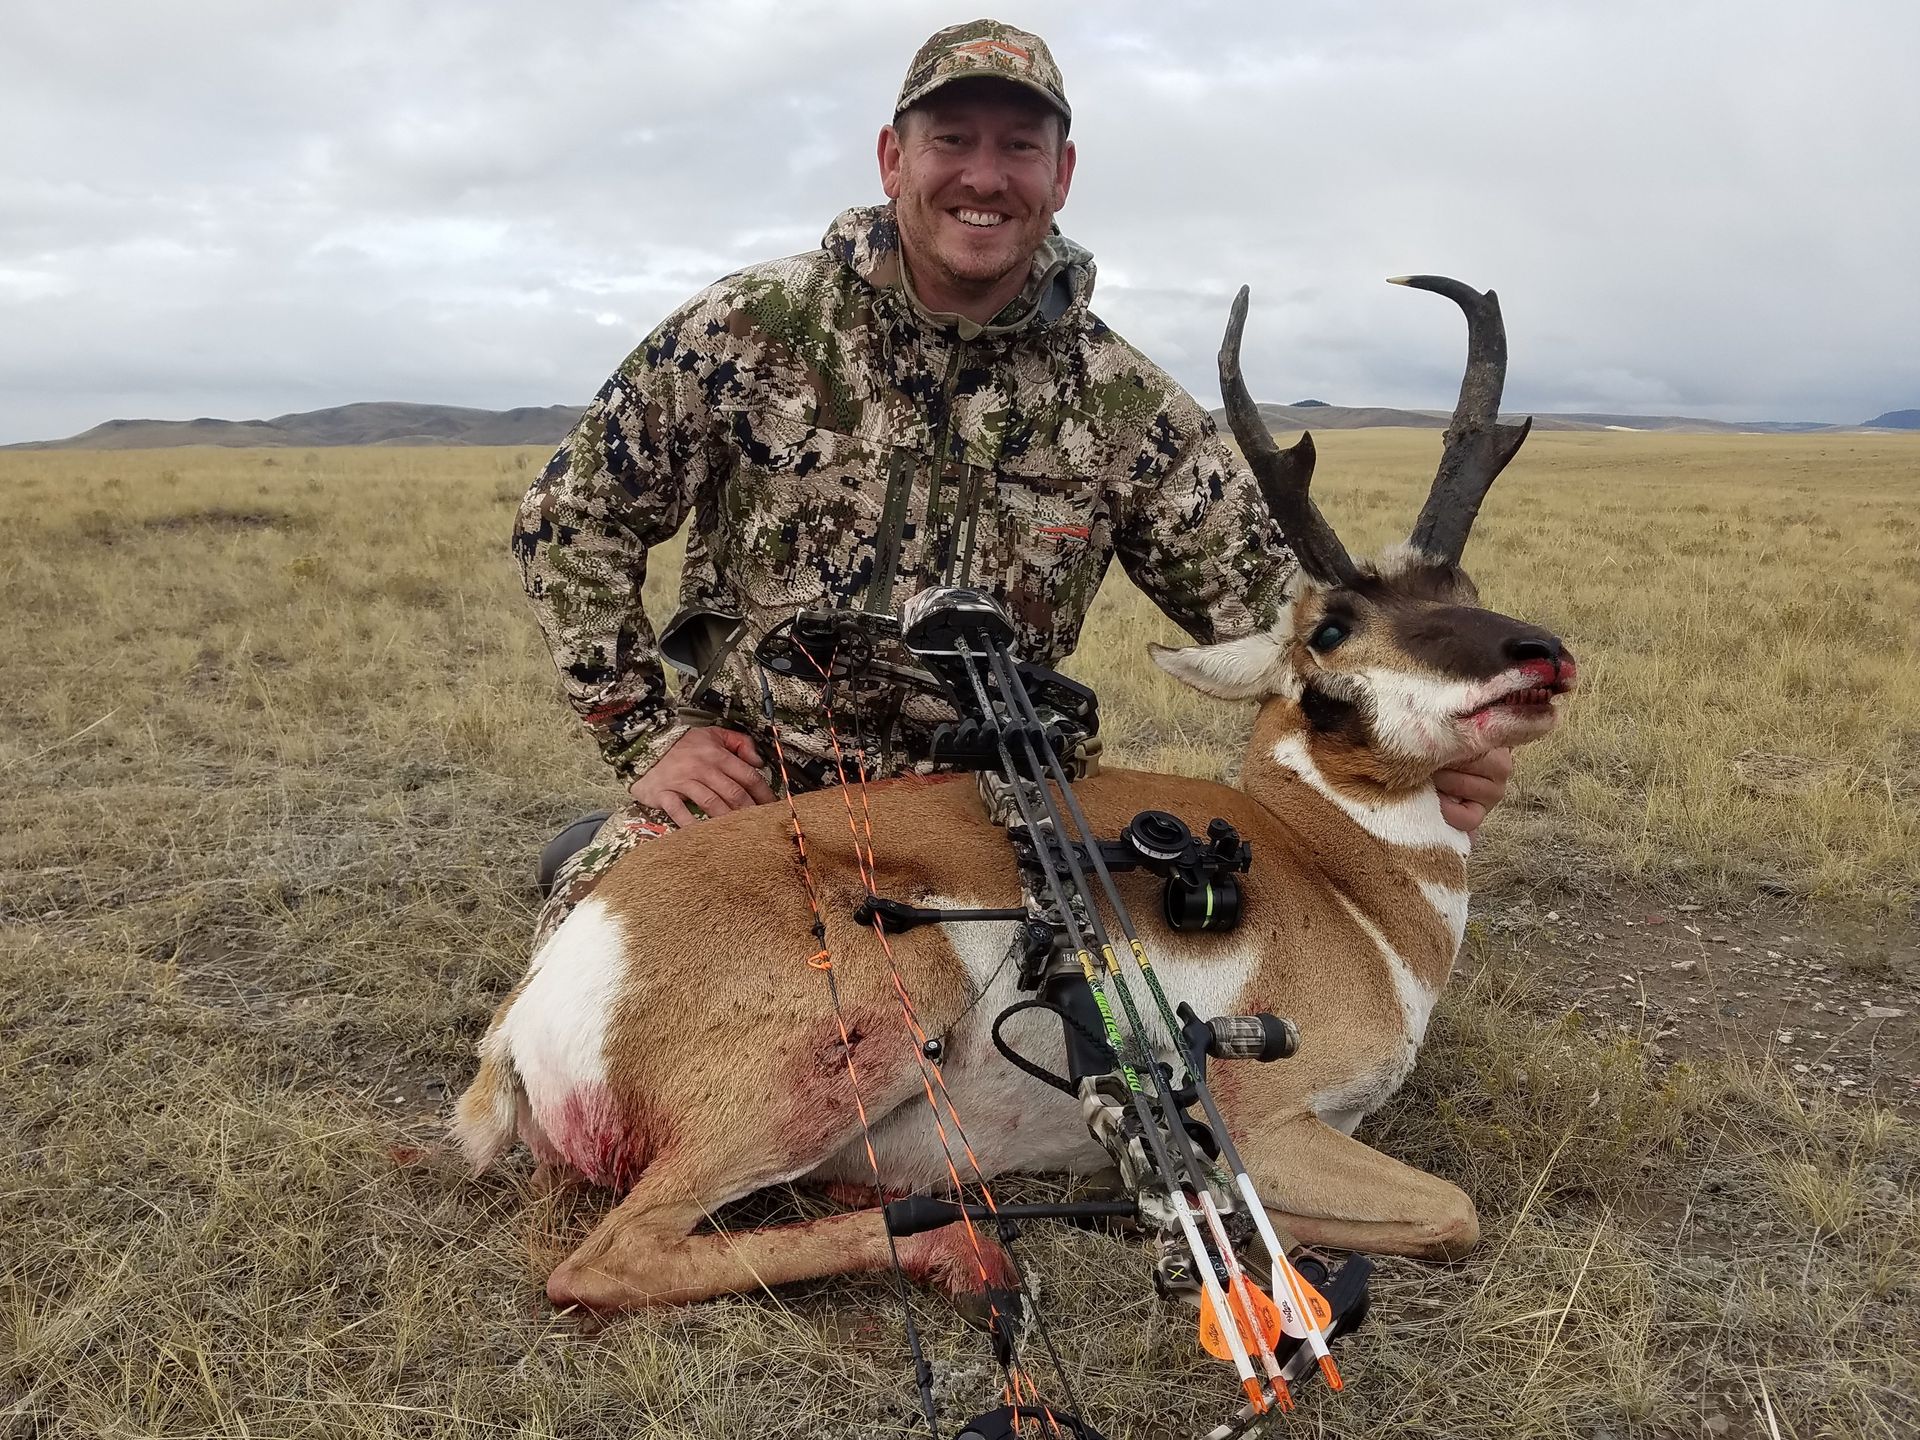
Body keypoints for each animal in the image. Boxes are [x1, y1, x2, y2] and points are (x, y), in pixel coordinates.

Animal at [454, 276, 1576, 1317]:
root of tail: (545, 990)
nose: (1542, 655)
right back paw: (967, 1249)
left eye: (1462, 590)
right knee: (609, 1259)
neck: (1336, 875)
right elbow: (1452, 1210)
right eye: (1332, 630)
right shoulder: (1266, 1129)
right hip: (880, 1014)